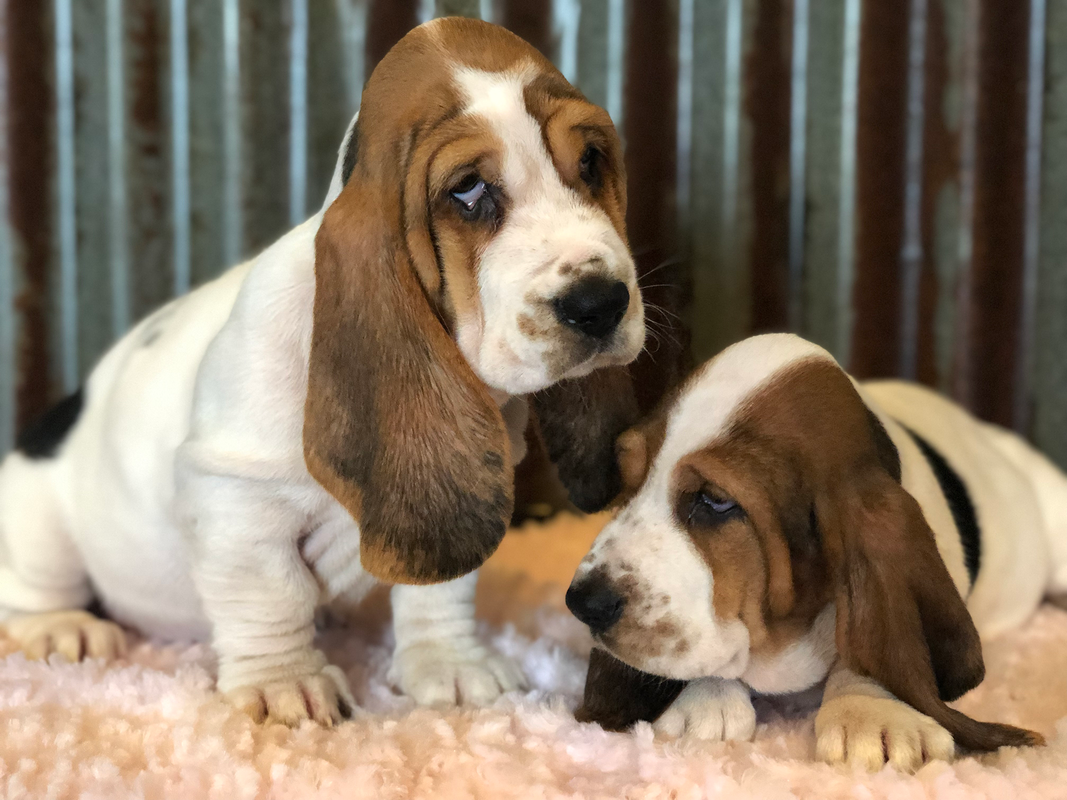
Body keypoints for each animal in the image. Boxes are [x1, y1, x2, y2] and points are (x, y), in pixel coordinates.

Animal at [0, 18, 640, 729]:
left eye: (591, 162)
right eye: (468, 191)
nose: (601, 303)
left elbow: (440, 587)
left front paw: (450, 664)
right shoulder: (237, 503)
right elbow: (270, 596)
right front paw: (284, 684)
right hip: (38, 526)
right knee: (29, 592)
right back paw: (62, 627)